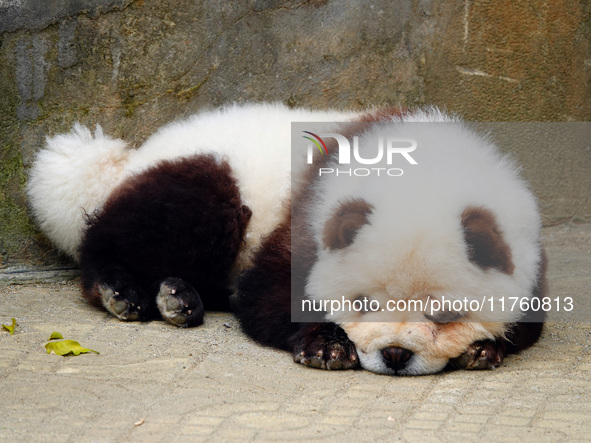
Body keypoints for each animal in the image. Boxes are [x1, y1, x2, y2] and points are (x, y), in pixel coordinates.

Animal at [26, 103, 544, 374]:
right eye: (362, 302)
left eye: (443, 314)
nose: (395, 355)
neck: (426, 177)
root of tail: (133, 157)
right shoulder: (309, 216)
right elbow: (267, 293)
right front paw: (325, 346)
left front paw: (483, 347)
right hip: (213, 177)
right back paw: (124, 290)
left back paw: (177, 297)